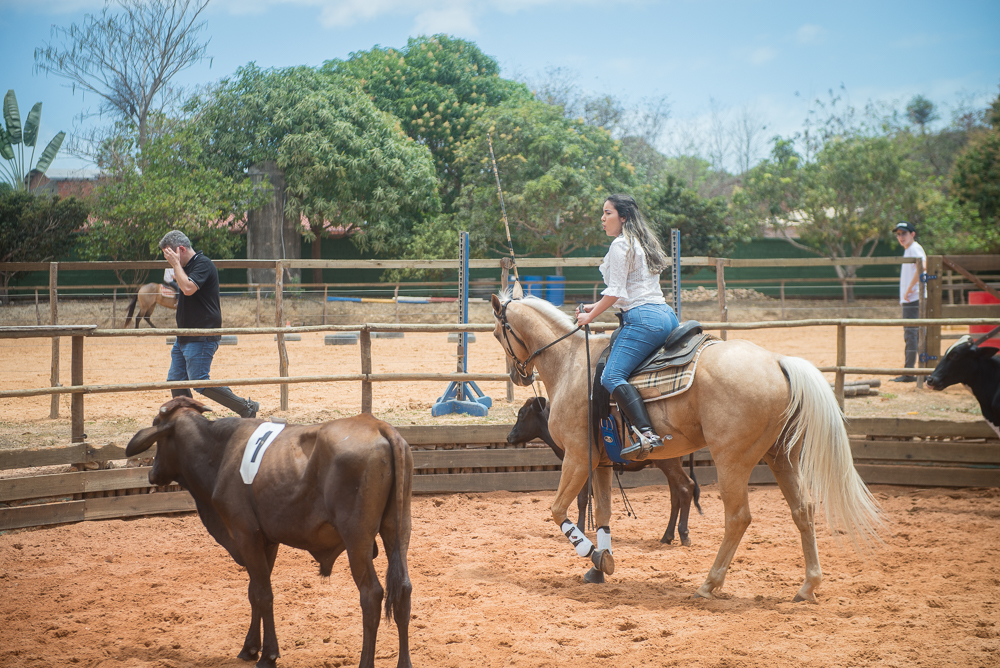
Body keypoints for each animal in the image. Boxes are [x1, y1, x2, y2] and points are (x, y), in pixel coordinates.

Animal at [126, 396, 414, 668]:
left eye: (156, 426)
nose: (152, 473)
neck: (219, 451)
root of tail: (378, 425)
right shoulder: (267, 541)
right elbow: (254, 591)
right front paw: (250, 647)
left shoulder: (245, 534)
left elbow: (264, 594)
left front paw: (268, 655)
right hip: (398, 530)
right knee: (403, 589)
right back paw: (405, 662)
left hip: (357, 538)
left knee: (371, 595)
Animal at [508, 396, 704, 544]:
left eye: (521, 414)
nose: (509, 437)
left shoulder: (580, 465)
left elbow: (582, 499)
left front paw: (580, 528)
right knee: (675, 496)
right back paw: (667, 536)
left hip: (669, 463)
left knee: (686, 487)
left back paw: (683, 534)